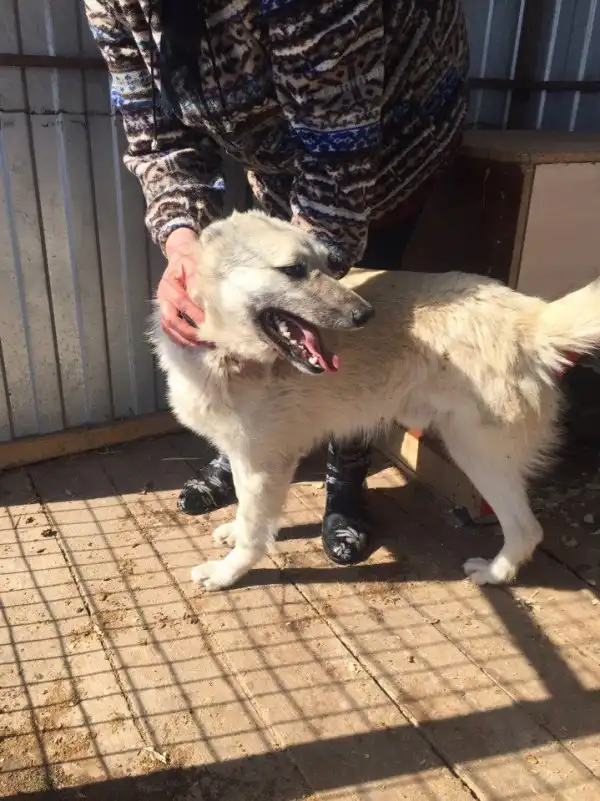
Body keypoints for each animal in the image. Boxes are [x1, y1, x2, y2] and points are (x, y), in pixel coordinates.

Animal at [150, 210, 600, 591]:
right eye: (294, 270)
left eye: (329, 265)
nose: (365, 315)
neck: (225, 354)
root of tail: (529, 317)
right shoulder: (246, 455)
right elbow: (247, 513)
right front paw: (234, 533)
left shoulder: (266, 463)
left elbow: (254, 530)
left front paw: (227, 573)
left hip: (477, 453)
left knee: (527, 529)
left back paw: (495, 573)